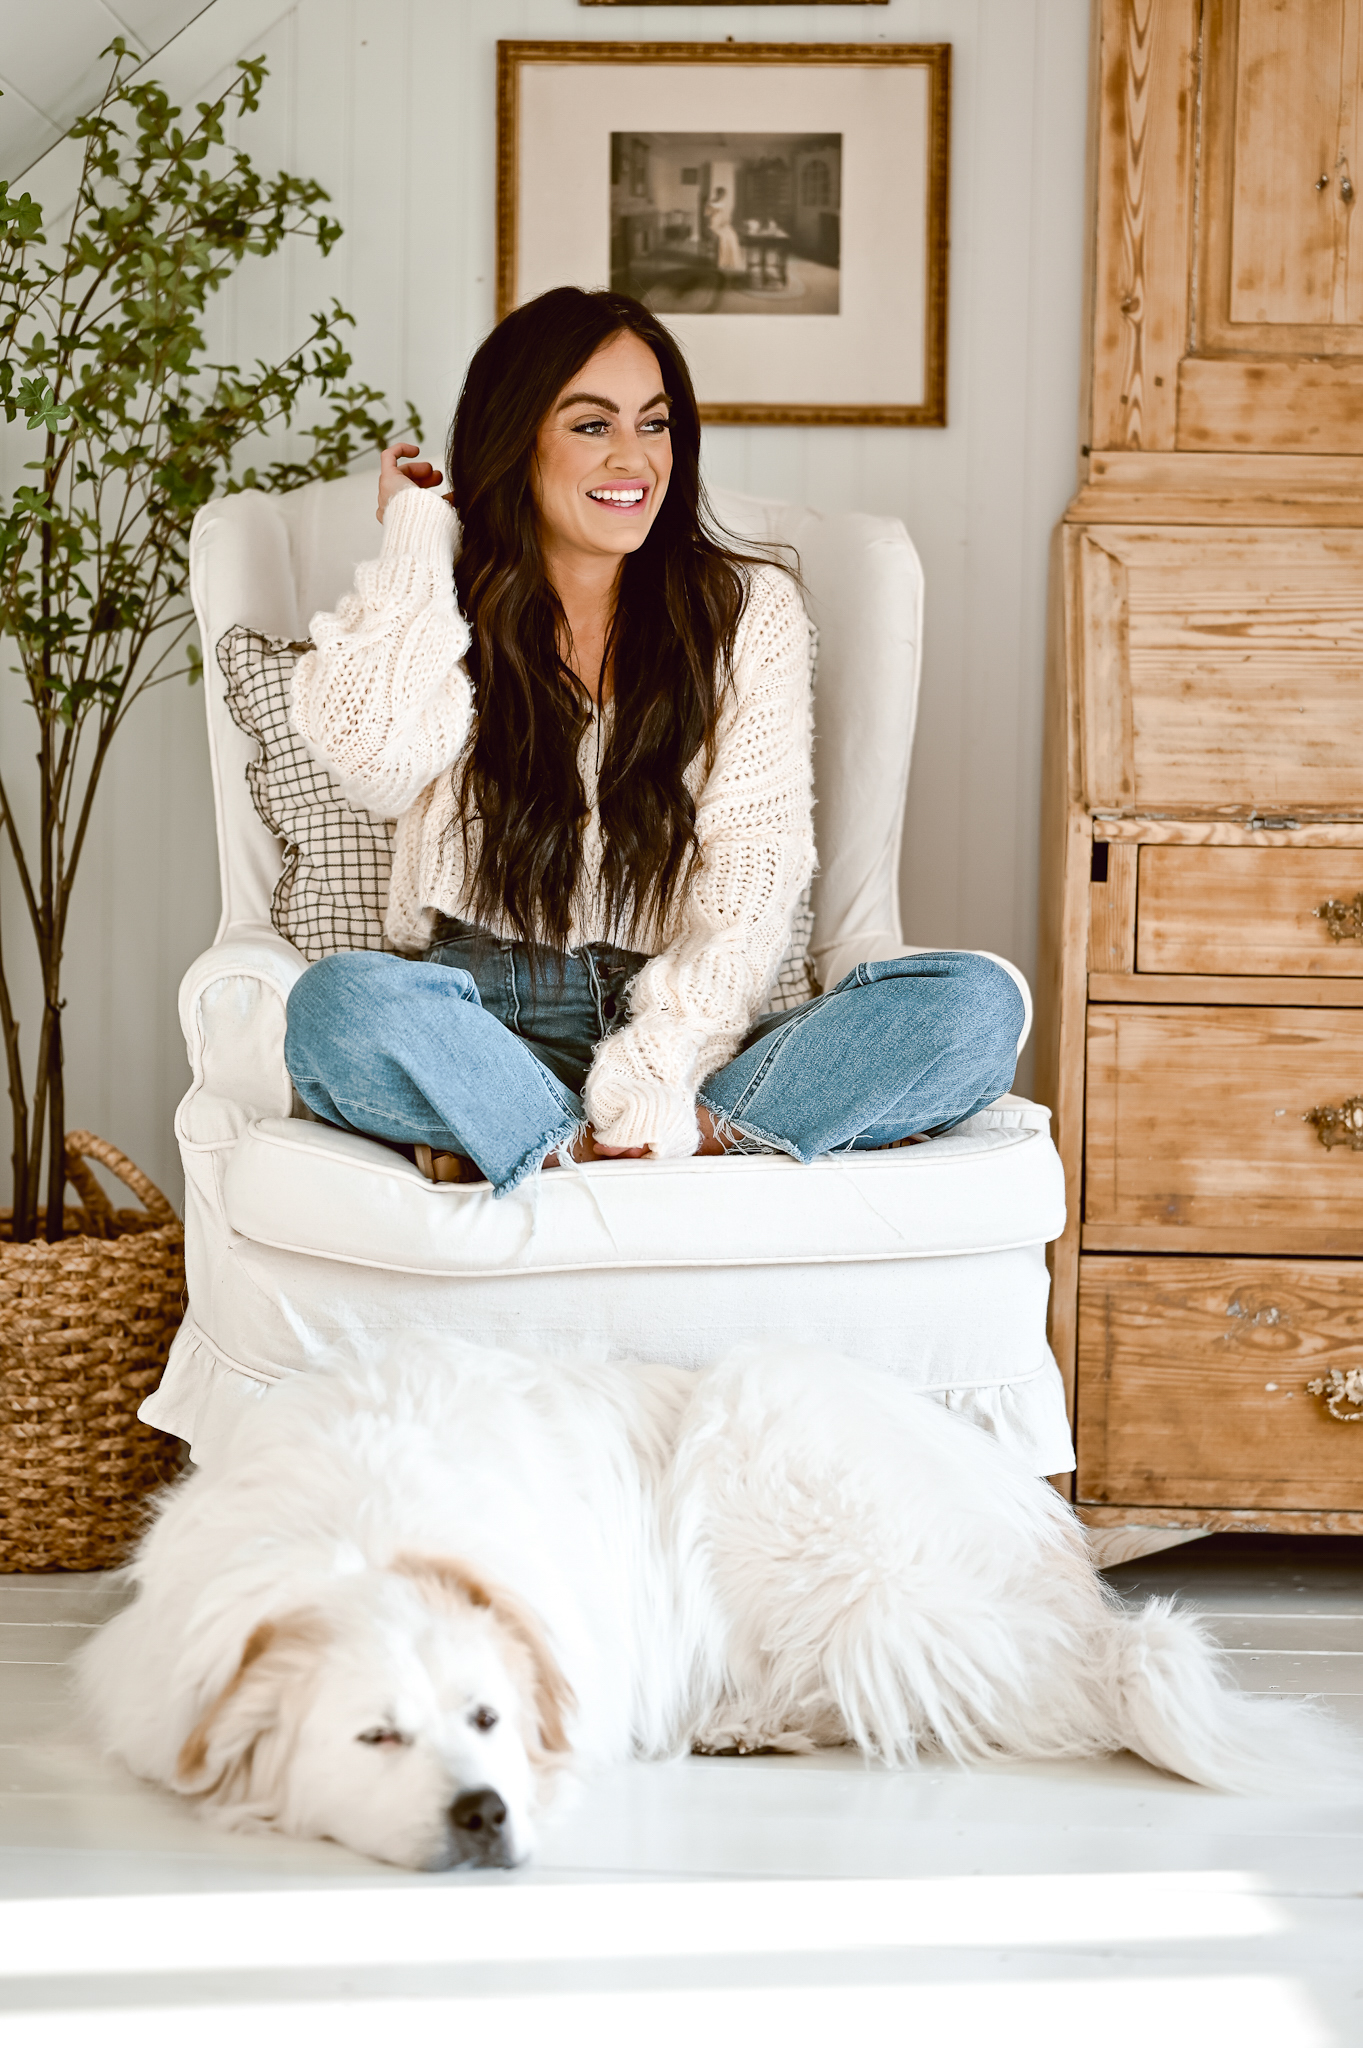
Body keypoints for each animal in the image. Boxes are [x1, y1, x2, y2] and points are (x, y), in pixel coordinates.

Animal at [80, 1340, 1362, 1869]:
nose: (485, 1812)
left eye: (489, 1717)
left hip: (773, 1444)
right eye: (375, 1735)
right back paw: (743, 1723)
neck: (373, 1532)